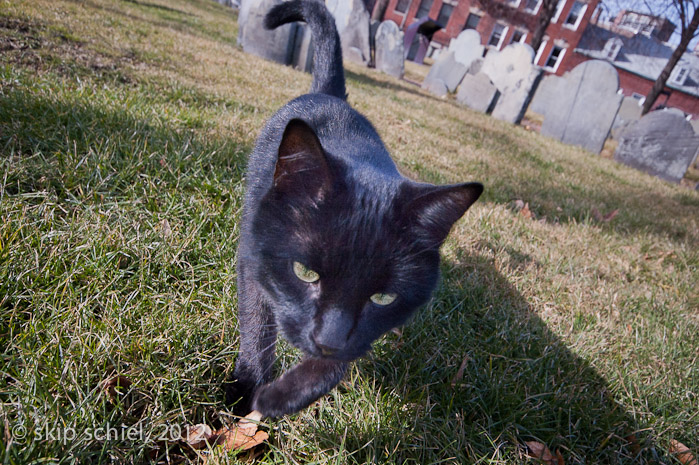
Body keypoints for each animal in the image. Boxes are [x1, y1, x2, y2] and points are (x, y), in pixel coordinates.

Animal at [227, 0, 484, 418]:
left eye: (383, 299)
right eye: (304, 273)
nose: (327, 340)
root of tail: (332, 95)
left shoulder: (362, 332)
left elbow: (339, 361)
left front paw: (286, 395)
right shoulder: (254, 254)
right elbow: (257, 323)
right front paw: (245, 392)